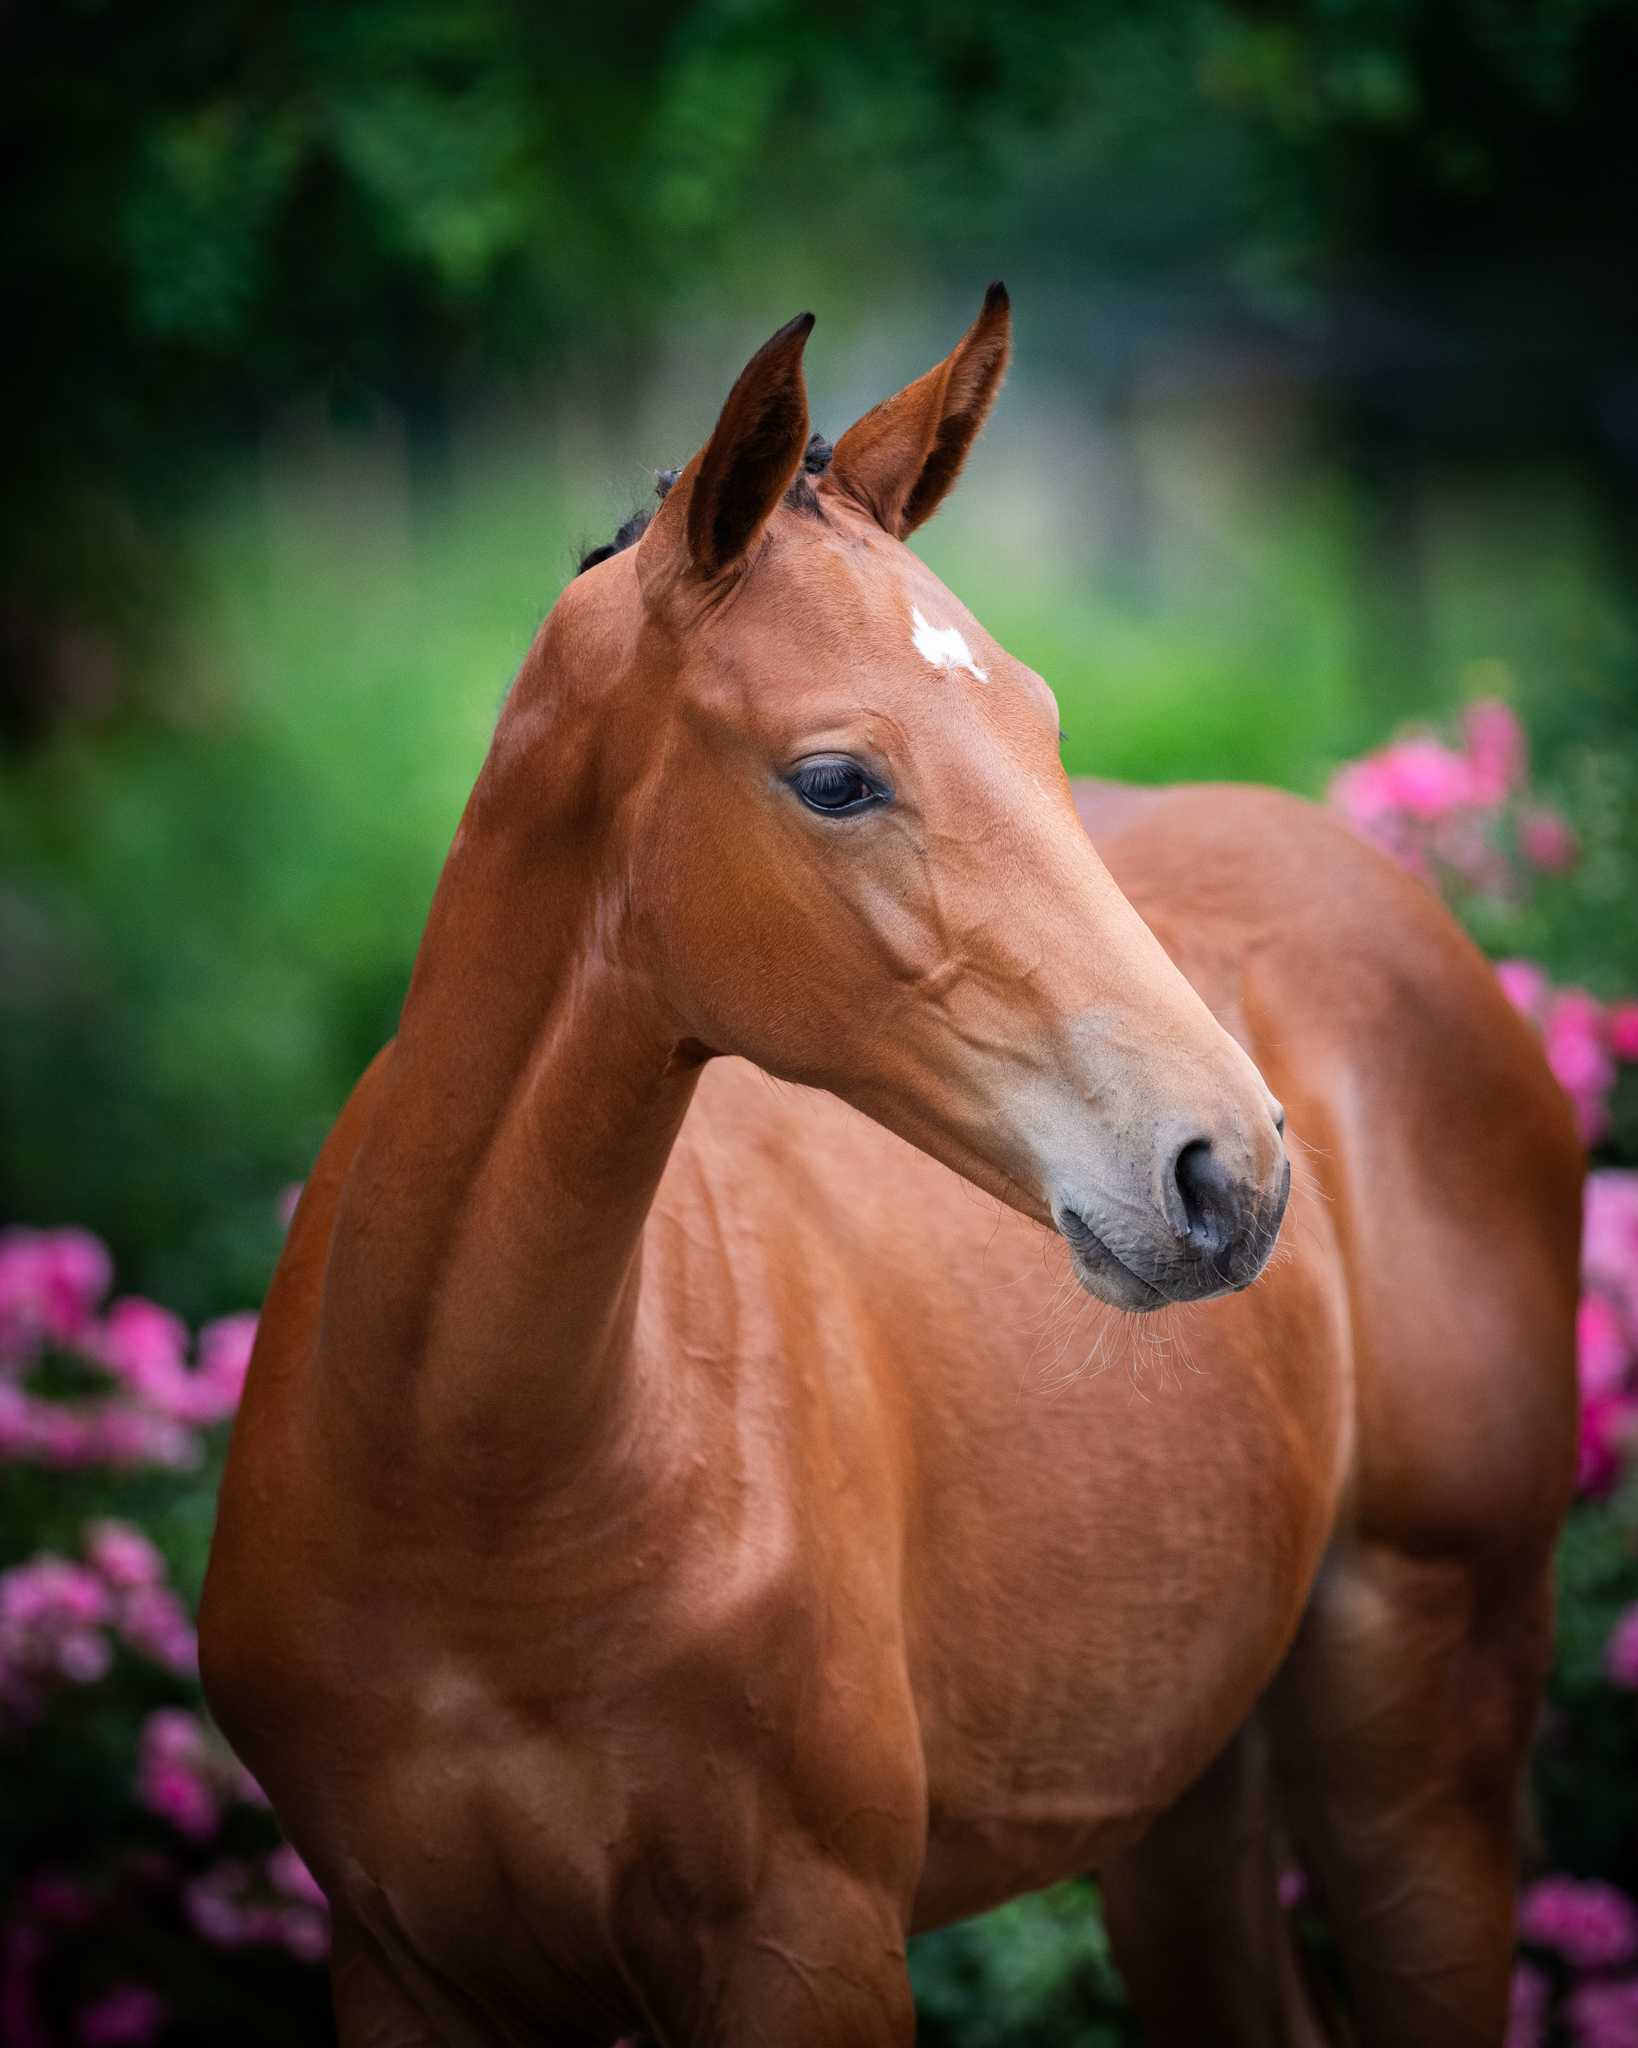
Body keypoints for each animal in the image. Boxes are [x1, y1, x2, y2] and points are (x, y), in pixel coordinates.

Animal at [200, 288, 1582, 2046]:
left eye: (1039, 722)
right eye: (835, 779)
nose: (1229, 1171)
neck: (465, 1487)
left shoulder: (808, 1951)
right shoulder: (401, 1967)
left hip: (1420, 1739)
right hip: (1183, 1791)